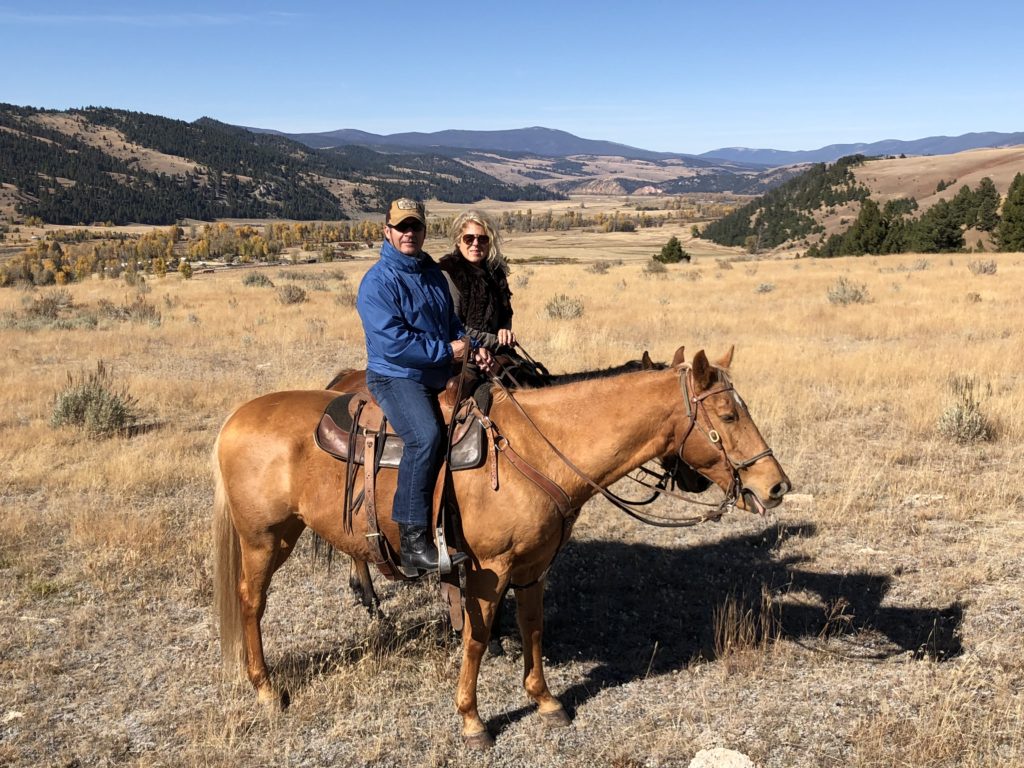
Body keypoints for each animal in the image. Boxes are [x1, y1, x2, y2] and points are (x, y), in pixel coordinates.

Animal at [214, 346, 790, 749]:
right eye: (729, 416)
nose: (775, 486)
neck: (538, 448)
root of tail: (235, 418)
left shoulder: (533, 567)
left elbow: (532, 627)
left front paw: (545, 701)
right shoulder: (489, 570)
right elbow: (476, 638)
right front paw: (472, 720)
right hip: (265, 538)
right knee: (251, 602)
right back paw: (266, 688)